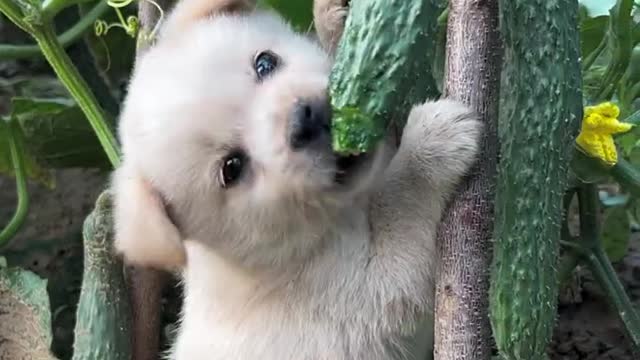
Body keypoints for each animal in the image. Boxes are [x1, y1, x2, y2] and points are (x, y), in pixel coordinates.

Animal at [112, 0, 482, 358]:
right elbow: (400, 214)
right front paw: (430, 142)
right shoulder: (359, 299)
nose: (306, 118)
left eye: (265, 63)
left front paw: (334, 22)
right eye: (232, 167)